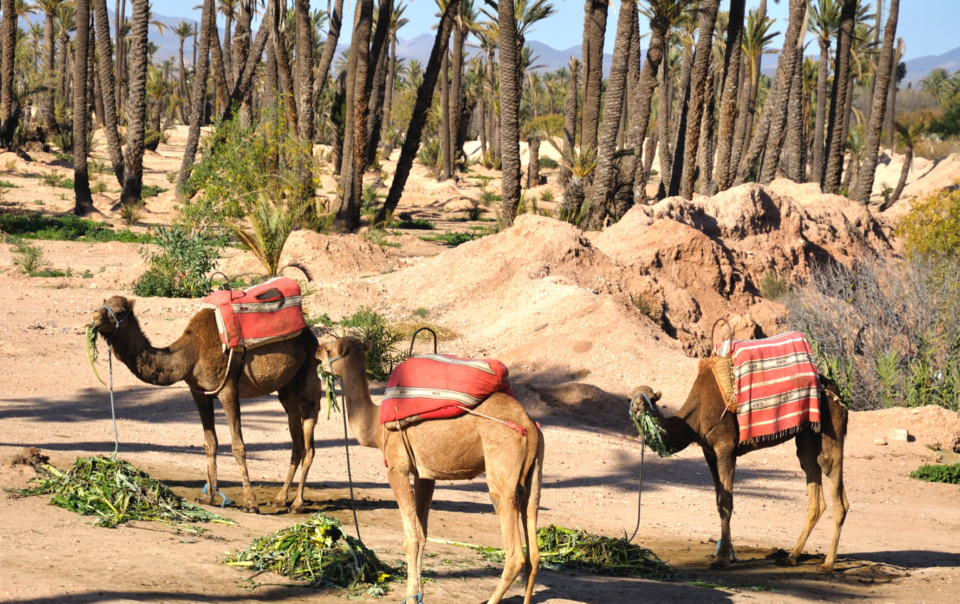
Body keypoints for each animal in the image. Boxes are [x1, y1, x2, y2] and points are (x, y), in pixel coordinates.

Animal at [92, 294, 322, 512]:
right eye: (102, 304)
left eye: (119, 312)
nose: (94, 317)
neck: (190, 354)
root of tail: (309, 332)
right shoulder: (199, 392)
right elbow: (210, 443)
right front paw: (208, 498)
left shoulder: (228, 389)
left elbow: (238, 447)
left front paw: (250, 503)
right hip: (288, 384)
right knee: (296, 437)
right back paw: (279, 499)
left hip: (311, 363)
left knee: (308, 428)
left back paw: (296, 504)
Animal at [318, 338, 544, 600]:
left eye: (329, 349)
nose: (316, 352)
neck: (375, 426)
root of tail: (528, 425)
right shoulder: (424, 474)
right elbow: (423, 534)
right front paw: (418, 595)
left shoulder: (396, 468)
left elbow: (411, 538)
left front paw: (409, 597)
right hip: (534, 476)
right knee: (534, 550)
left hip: (502, 466)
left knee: (515, 552)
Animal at [632, 368, 852, 572]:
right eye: (631, 397)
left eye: (651, 399)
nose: (637, 406)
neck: (695, 417)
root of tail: (837, 392)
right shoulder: (709, 452)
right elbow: (719, 501)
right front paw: (720, 556)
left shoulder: (725, 446)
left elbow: (726, 503)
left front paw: (723, 561)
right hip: (808, 433)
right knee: (813, 479)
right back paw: (790, 557)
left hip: (832, 422)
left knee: (832, 475)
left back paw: (828, 564)